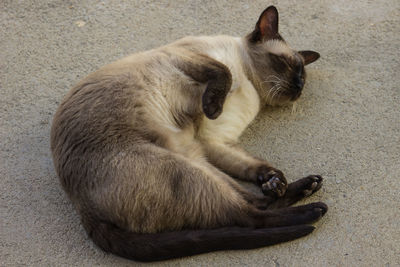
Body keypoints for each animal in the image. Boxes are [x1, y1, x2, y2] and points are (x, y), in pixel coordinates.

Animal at [50, 5, 324, 262]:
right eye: (290, 66)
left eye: (303, 76)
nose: (299, 87)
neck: (249, 82)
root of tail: (82, 208)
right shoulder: (187, 58)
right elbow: (223, 72)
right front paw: (212, 106)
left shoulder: (213, 141)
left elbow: (252, 165)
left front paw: (274, 180)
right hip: (184, 168)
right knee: (249, 216)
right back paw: (314, 211)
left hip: (196, 162)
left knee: (253, 205)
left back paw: (306, 188)